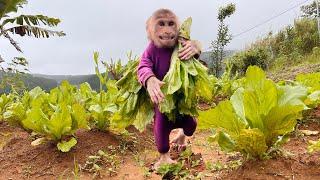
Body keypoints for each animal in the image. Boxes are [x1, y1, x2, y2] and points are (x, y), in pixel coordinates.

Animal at [138, 8, 202, 169]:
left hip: (187, 118)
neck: (165, 48)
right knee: (161, 139)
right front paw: (153, 85)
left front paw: (193, 47)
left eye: (170, 23)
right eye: (161, 24)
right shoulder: (149, 51)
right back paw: (165, 163)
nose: (167, 31)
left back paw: (180, 140)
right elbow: (143, 68)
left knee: (190, 127)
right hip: (161, 121)